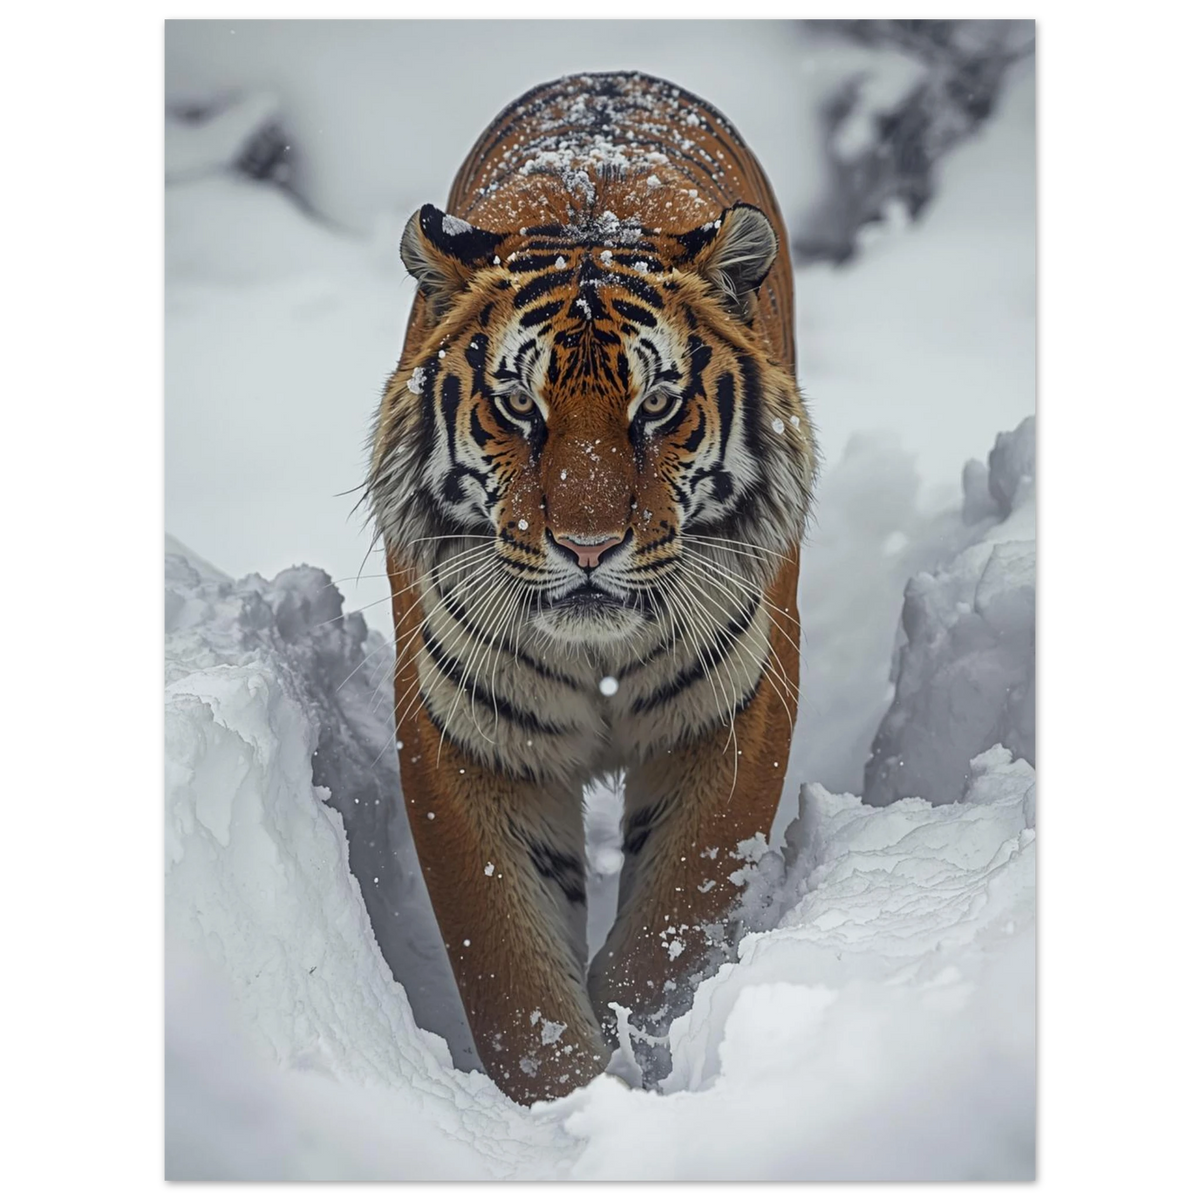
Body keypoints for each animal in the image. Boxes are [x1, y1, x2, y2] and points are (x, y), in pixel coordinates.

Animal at [367, 71, 817, 1105]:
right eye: (517, 405)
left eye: (657, 405)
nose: (586, 545)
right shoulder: (464, 735)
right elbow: (509, 971)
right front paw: (569, 1100)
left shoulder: (733, 711)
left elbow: (674, 921)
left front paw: (635, 1044)